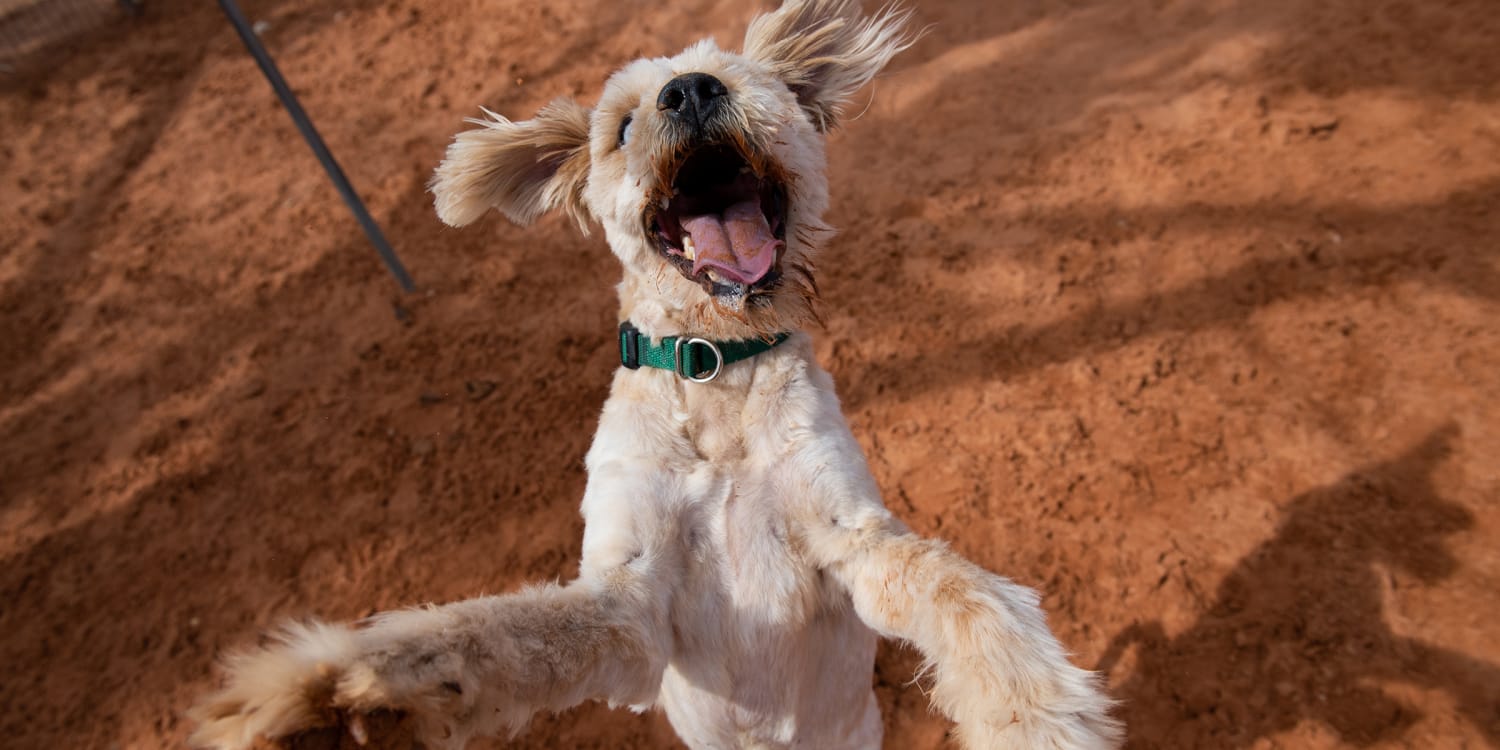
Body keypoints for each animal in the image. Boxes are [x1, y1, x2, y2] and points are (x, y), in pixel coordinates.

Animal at [190, 2, 1116, 747]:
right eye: (623, 125)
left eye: (739, 79)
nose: (692, 93)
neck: (717, 376)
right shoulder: (628, 604)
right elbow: (490, 635)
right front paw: (331, 697)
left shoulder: (852, 538)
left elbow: (967, 597)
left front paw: (1033, 713)